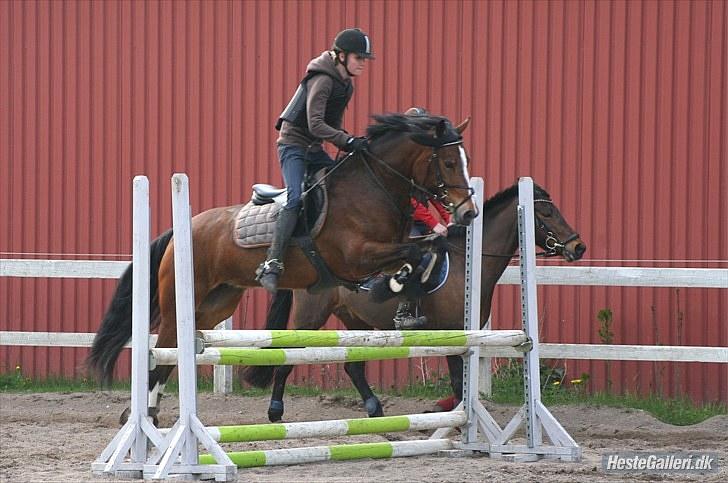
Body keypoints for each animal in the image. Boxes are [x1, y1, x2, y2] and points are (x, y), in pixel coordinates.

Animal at [89, 113, 478, 424]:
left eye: (466, 159)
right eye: (447, 162)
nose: (469, 213)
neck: (371, 188)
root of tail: (184, 228)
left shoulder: (384, 252)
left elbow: (427, 249)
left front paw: (405, 297)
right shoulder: (357, 257)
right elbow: (415, 251)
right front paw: (394, 287)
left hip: (216, 305)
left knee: (174, 354)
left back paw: (149, 412)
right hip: (180, 302)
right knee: (166, 349)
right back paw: (144, 414)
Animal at [243, 181, 584, 420]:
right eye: (547, 213)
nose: (578, 247)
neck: (468, 262)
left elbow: (461, 381)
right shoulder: (452, 333)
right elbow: (457, 381)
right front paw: (452, 415)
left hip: (356, 319)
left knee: (353, 367)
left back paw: (374, 408)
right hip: (311, 316)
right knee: (287, 357)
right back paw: (275, 411)